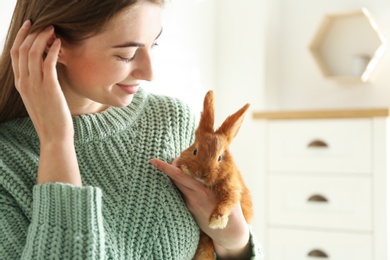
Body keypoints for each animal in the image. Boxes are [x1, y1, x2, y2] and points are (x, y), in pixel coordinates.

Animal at [176, 90, 253, 260]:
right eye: (195, 151)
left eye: (219, 158)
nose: (202, 174)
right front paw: (185, 168)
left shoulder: (233, 189)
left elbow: (228, 202)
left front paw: (216, 222)